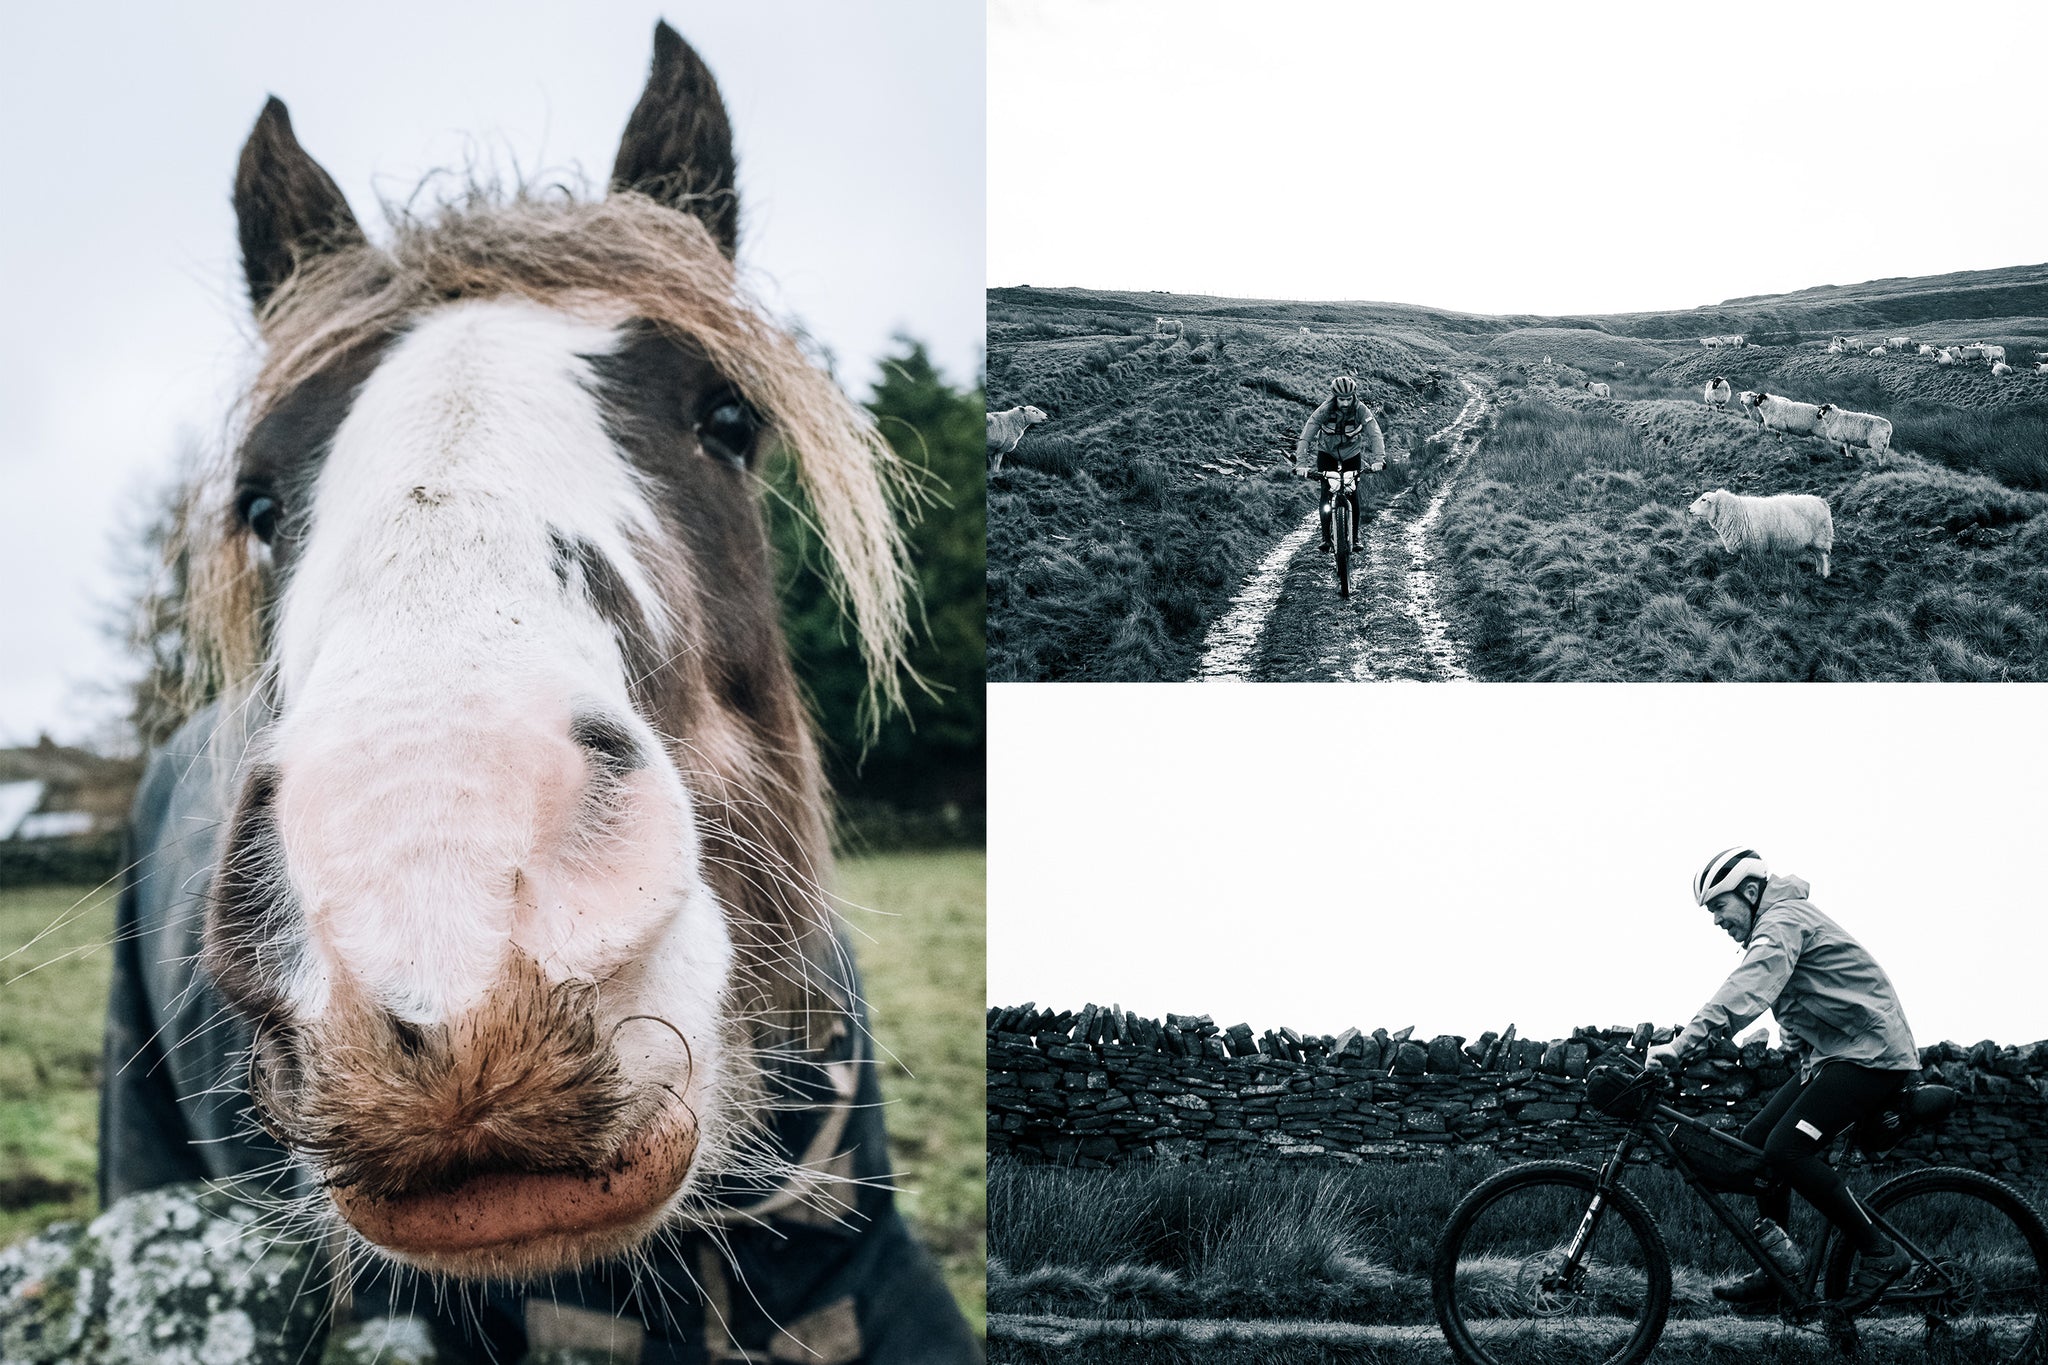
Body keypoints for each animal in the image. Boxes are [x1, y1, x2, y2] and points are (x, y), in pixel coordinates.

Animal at [1695, 491, 1843, 577]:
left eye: (1704, 500)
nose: (1690, 509)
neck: (1734, 510)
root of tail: (1821, 501)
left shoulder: (1755, 547)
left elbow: (1754, 564)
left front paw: (1754, 574)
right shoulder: (1746, 548)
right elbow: (1745, 561)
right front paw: (1746, 571)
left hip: (1821, 539)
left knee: (1823, 557)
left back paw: (1824, 575)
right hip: (1814, 542)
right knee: (1818, 557)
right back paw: (1817, 572)